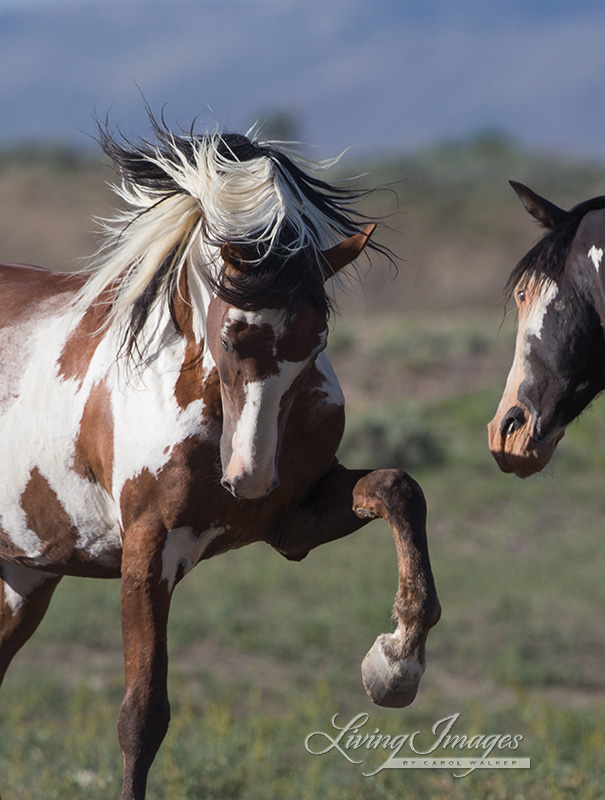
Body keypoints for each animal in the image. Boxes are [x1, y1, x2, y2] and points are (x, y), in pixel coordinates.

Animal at [0, 122, 438, 796]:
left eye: (318, 339)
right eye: (231, 334)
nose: (250, 476)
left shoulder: (292, 525)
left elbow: (399, 489)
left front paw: (394, 666)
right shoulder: (148, 551)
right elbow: (141, 716)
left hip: (23, 578)